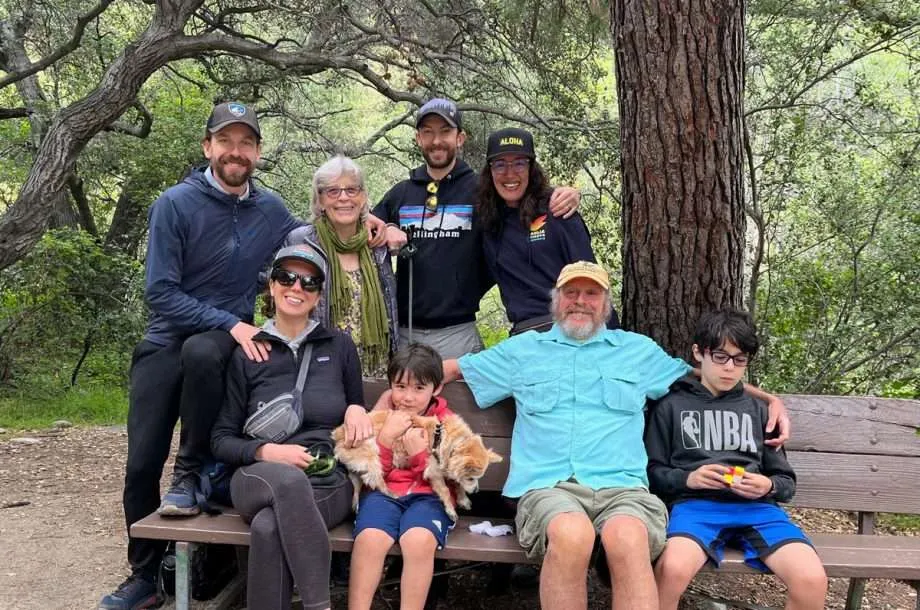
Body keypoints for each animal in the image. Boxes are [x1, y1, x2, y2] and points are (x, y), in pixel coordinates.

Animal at [332, 408, 504, 516]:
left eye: (476, 479)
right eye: (471, 478)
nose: (476, 491)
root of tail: (339, 434)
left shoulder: (446, 468)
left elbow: (456, 483)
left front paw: (463, 499)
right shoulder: (434, 472)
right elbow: (445, 490)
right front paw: (450, 509)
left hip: (356, 469)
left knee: (357, 483)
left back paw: (355, 503)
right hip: (372, 454)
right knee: (375, 480)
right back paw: (391, 493)